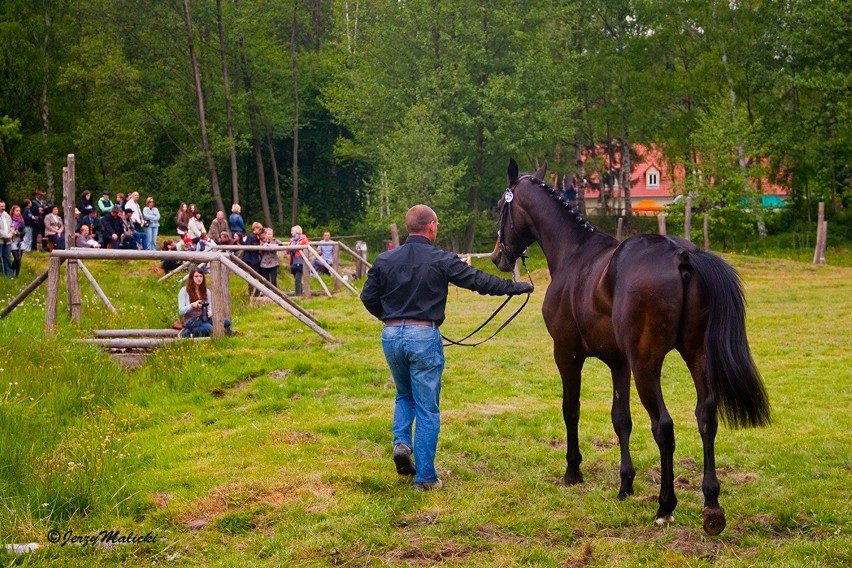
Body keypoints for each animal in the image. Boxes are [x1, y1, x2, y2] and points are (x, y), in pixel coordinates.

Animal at [490, 159, 768, 532]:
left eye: (500, 207)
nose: (497, 257)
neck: (574, 255)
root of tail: (682, 256)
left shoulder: (567, 354)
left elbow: (571, 408)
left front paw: (573, 470)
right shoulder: (617, 362)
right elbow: (621, 419)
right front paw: (625, 483)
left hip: (646, 364)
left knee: (663, 425)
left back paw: (665, 505)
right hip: (696, 356)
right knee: (705, 416)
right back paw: (711, 502)